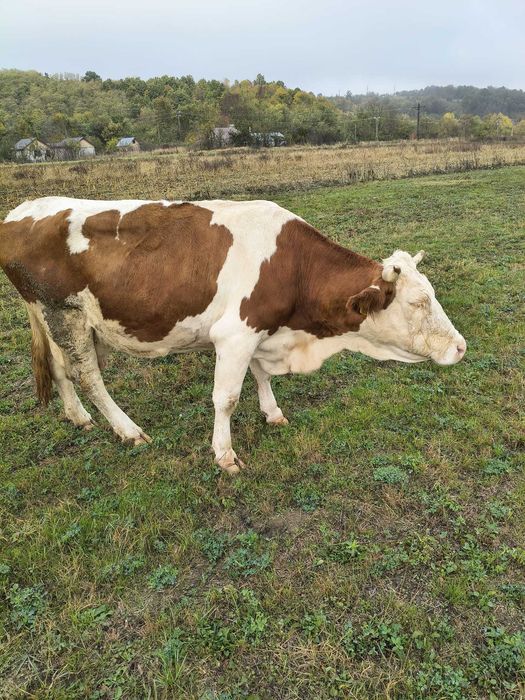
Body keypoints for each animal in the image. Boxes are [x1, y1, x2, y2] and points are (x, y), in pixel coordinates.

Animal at [0, 197, 466, 473]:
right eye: (418, 302)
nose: (461, 347)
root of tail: (24, 208)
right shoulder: (236, 333)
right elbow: (226, 398)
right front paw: (224, 454)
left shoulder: (260, 330)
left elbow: (261, 375)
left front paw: (272, 413)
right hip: (64, 313)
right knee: (88, 375)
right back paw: (128, 431)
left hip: (55, 316)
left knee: (60, 367)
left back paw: (77, 417)